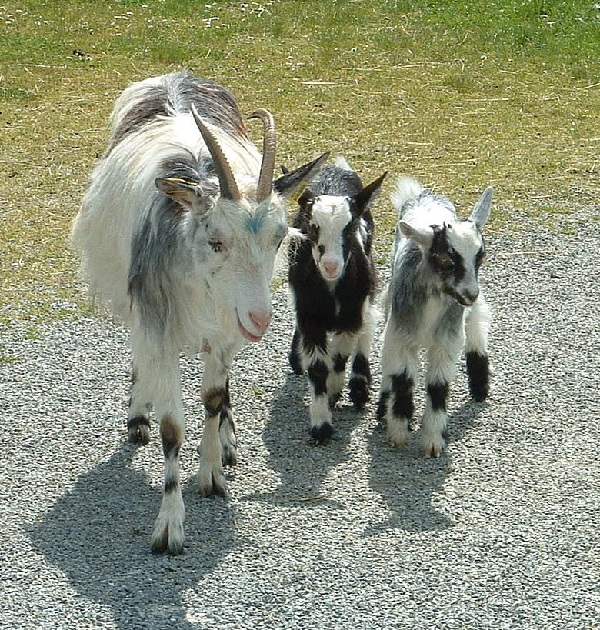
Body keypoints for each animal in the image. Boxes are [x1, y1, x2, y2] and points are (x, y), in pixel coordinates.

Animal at [71, 71, 328, 552]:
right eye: (216, 241)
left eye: (279, 238)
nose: (261, 319)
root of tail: (174, 77)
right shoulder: (158, 323)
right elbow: (172, 425)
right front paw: (169, 526)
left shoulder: (226, 330)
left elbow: (212, 398)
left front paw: (211, 473)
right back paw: (138, 415)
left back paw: (226, 439)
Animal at [288, 158, 386, 444]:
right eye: (312, 227)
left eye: (350, 227)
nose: (331, 265)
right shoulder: (310, 318)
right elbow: (318, 367)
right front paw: (321, 425)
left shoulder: (352, 314)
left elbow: (341, 356)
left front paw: (335, 391)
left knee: (368, 326)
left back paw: (359, 386)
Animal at [378, 178, 494, 460]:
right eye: (445, 258)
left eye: (480, 256)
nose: (470, 293)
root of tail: (424, 194)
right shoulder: (400, 334)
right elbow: (402, 378)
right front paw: (398, 431)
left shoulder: (447, 341)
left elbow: (438, 386)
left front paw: (432, 441)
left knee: (478, 321)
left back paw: (480, 387)